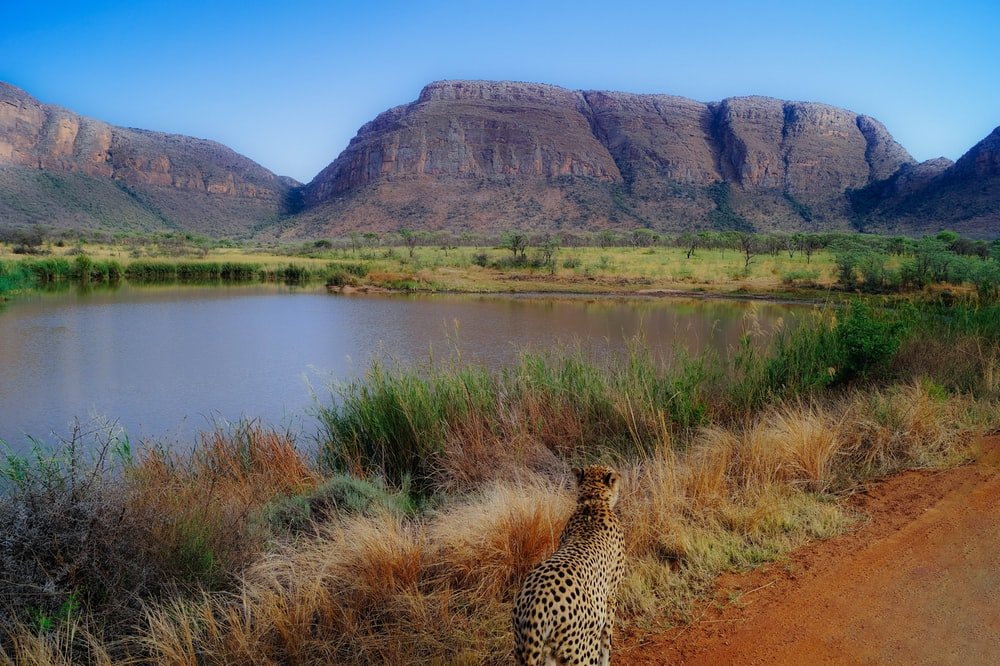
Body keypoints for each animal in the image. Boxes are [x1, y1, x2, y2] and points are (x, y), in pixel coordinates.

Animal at [512, 464, 626, 666]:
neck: (592, 503)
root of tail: (536, 602)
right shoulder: (611, 596)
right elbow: (607, 642)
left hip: (528, 649)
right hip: (582, 651)